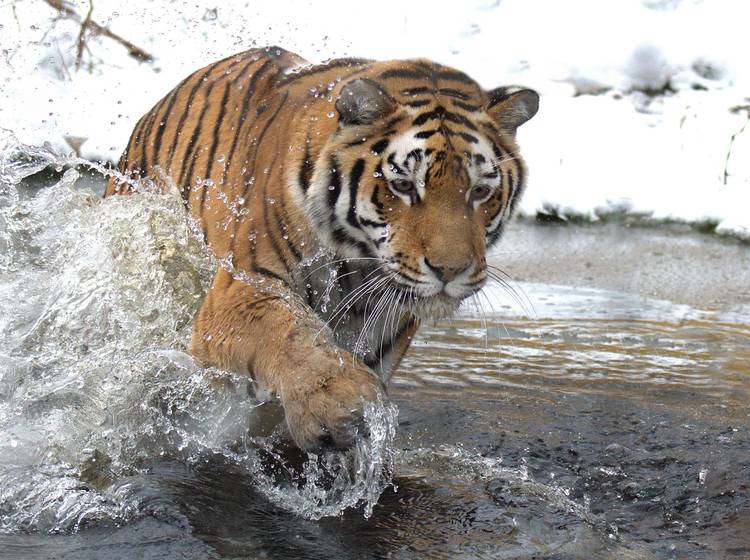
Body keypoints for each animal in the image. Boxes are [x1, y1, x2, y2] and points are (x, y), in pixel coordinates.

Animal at [106, 46, 540, 452]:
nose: (450, 271)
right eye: (403, 185)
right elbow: (292, 333)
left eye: (480, 191)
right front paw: (340, 401)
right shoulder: (243, 287)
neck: (358, 268)